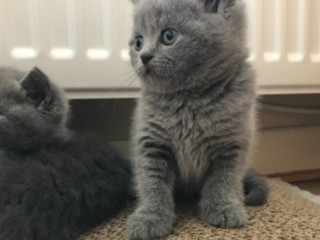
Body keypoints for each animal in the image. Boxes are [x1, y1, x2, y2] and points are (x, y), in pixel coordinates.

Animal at [127, 0, 268, 240]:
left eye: (168, 36)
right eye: (138, 42)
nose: (143, 56)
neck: (189, 99)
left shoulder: (232, 144)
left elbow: (223, 180)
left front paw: (223, 208)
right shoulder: (150, 142)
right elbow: (152, 183)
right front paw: (150, 218)